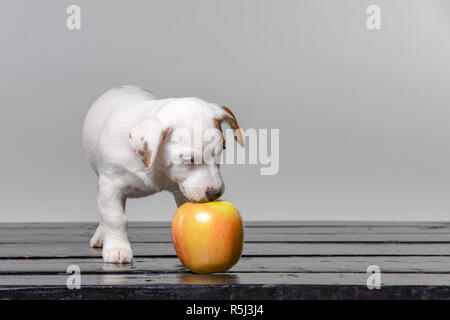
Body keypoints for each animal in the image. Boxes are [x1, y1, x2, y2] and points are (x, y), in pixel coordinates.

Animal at [81, 85, 243, 262]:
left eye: (223, 149)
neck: (156, 167)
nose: (215, 193)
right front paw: (117, 248)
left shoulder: (182, 190)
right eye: (188, 159)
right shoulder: (111, 185)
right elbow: (114, 218)